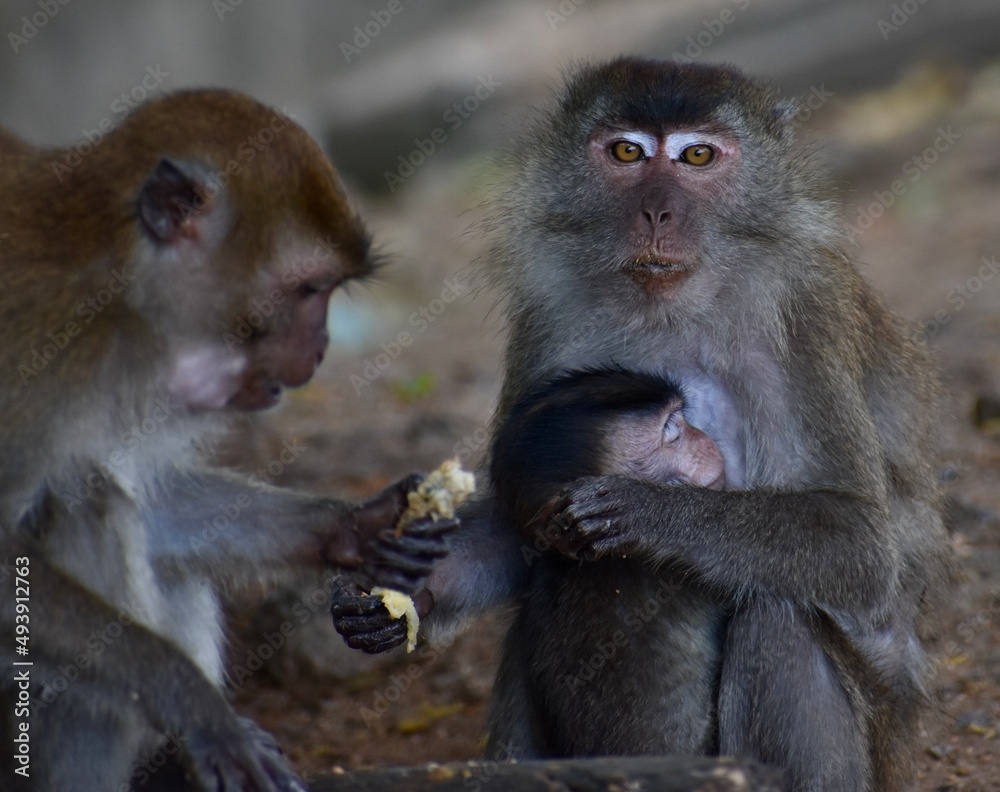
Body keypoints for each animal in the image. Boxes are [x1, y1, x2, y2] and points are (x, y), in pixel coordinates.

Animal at [0, 93, 454, 792]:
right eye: (308, 289)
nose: (323, 347)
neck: (123, 287)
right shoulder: (51, 364)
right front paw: (192, 700)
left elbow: (152, 503)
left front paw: (363, 525)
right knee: (87, 506)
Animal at [334, 57, 944, 792]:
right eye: (627, 153)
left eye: (697, 156)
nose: (657, 211)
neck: (673, 306)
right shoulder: (552, 310)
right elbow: (518, 517)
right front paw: (400, 595)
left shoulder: (806, 313)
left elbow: (860, 545)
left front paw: (651, 512)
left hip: (884, 742)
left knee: (782, 613)